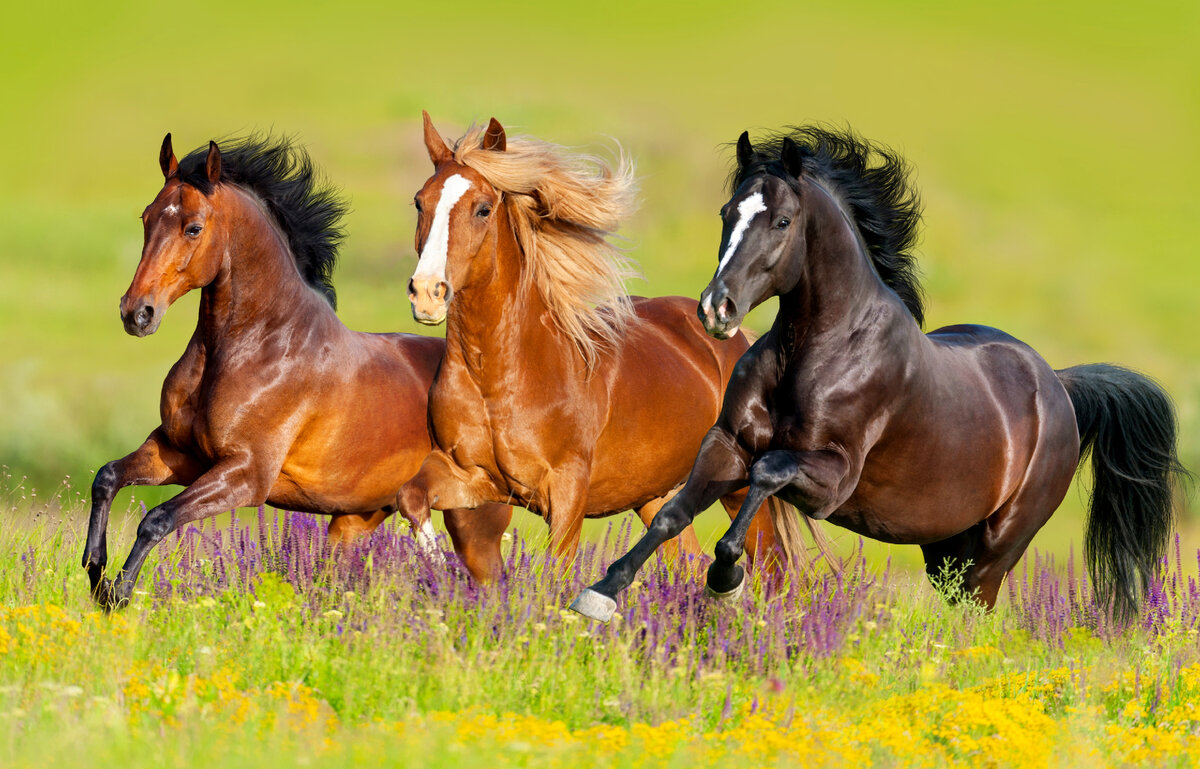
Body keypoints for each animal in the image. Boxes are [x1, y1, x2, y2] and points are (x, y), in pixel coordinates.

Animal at [79, 134, 511, 609]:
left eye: (193, 227)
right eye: (147, 217)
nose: (137, 313)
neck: (259, 345)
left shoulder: (246, 475)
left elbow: (156, 518)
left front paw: (117, 594)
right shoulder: (179, 453)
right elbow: (107, 477)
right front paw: (95, 571)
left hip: (473, 519)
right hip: (355, 520)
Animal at [393, 110, 816, 573]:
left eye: (483, 209)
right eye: (419, 202)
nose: (427, 292)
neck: (501, 376)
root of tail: (740, 341)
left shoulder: (566, 493)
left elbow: (556, 571)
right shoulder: (472, 476)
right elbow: (410, 496)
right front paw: (436, 567)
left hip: (738, 488)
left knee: (771, 567)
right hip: (658, 495)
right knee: (686, 559)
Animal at [576, 122, 1185, 619]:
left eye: (782, 220)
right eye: (727, 213)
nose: (715, 309)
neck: (818, 352)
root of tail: (1059, 385)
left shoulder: (831, 480)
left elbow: (767, 472)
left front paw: (725, 577)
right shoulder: (727, 443)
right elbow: (672, 513)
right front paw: (600, 594)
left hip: (996, 549)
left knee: (977, 615)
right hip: (946, 549)